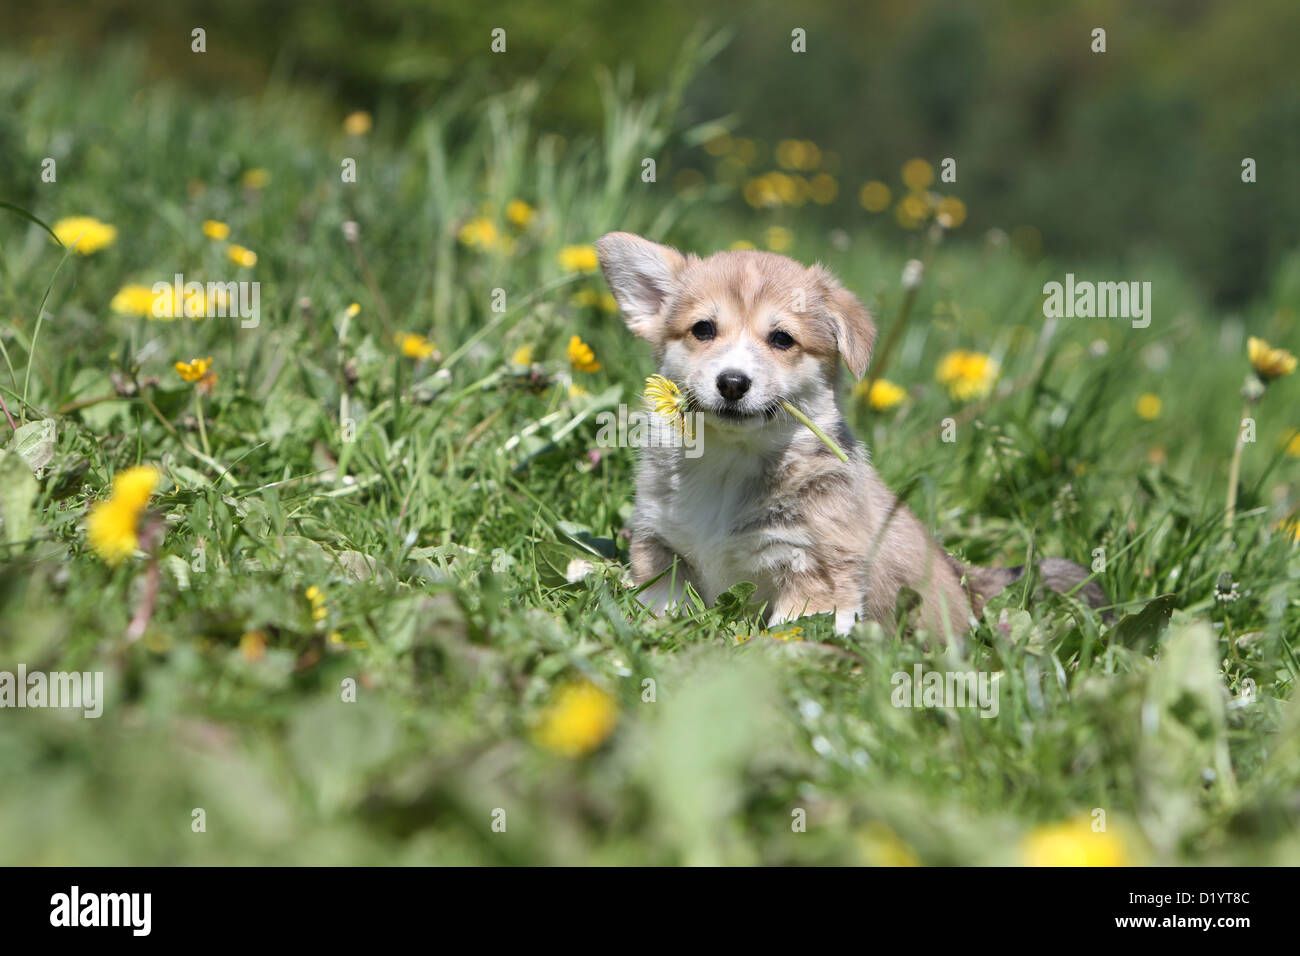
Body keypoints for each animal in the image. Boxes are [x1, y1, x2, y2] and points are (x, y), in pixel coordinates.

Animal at [595, 228, 1102, 639]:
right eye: (703, 329)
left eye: (782, 339)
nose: (733, 383)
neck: (729, 464)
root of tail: (969, 581)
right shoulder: (661, 548)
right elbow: (664, 607)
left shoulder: (813, 570)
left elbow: (790, 634)